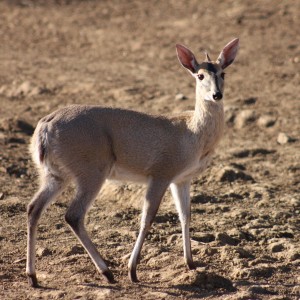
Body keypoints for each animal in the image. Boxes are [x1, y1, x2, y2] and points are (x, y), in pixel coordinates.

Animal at [27, 38, 240, 288]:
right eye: (200, 75)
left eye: (223, 72)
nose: (217, 95)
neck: (191, 131)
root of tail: (46, 124)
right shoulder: (160, 177)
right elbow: (147, 218)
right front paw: (133, 271)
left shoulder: (181, 180)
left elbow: (185, 216)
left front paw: (191, 264)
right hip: (91, 176)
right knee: (73, 215)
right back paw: (107, 273)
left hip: (55, 177)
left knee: (33, 208)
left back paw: (33, 277)